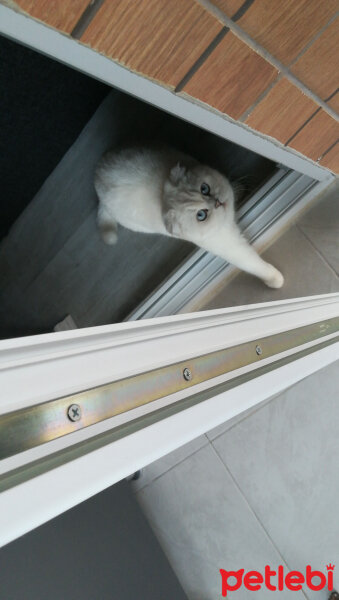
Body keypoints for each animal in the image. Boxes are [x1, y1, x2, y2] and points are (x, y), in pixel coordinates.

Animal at [94, 144, 286, 288]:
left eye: (204, 189)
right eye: (201, 215)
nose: (217, 203)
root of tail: (98, 187)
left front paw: (239, 190)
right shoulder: (229, 245)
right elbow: (253, 264)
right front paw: (275, 280)